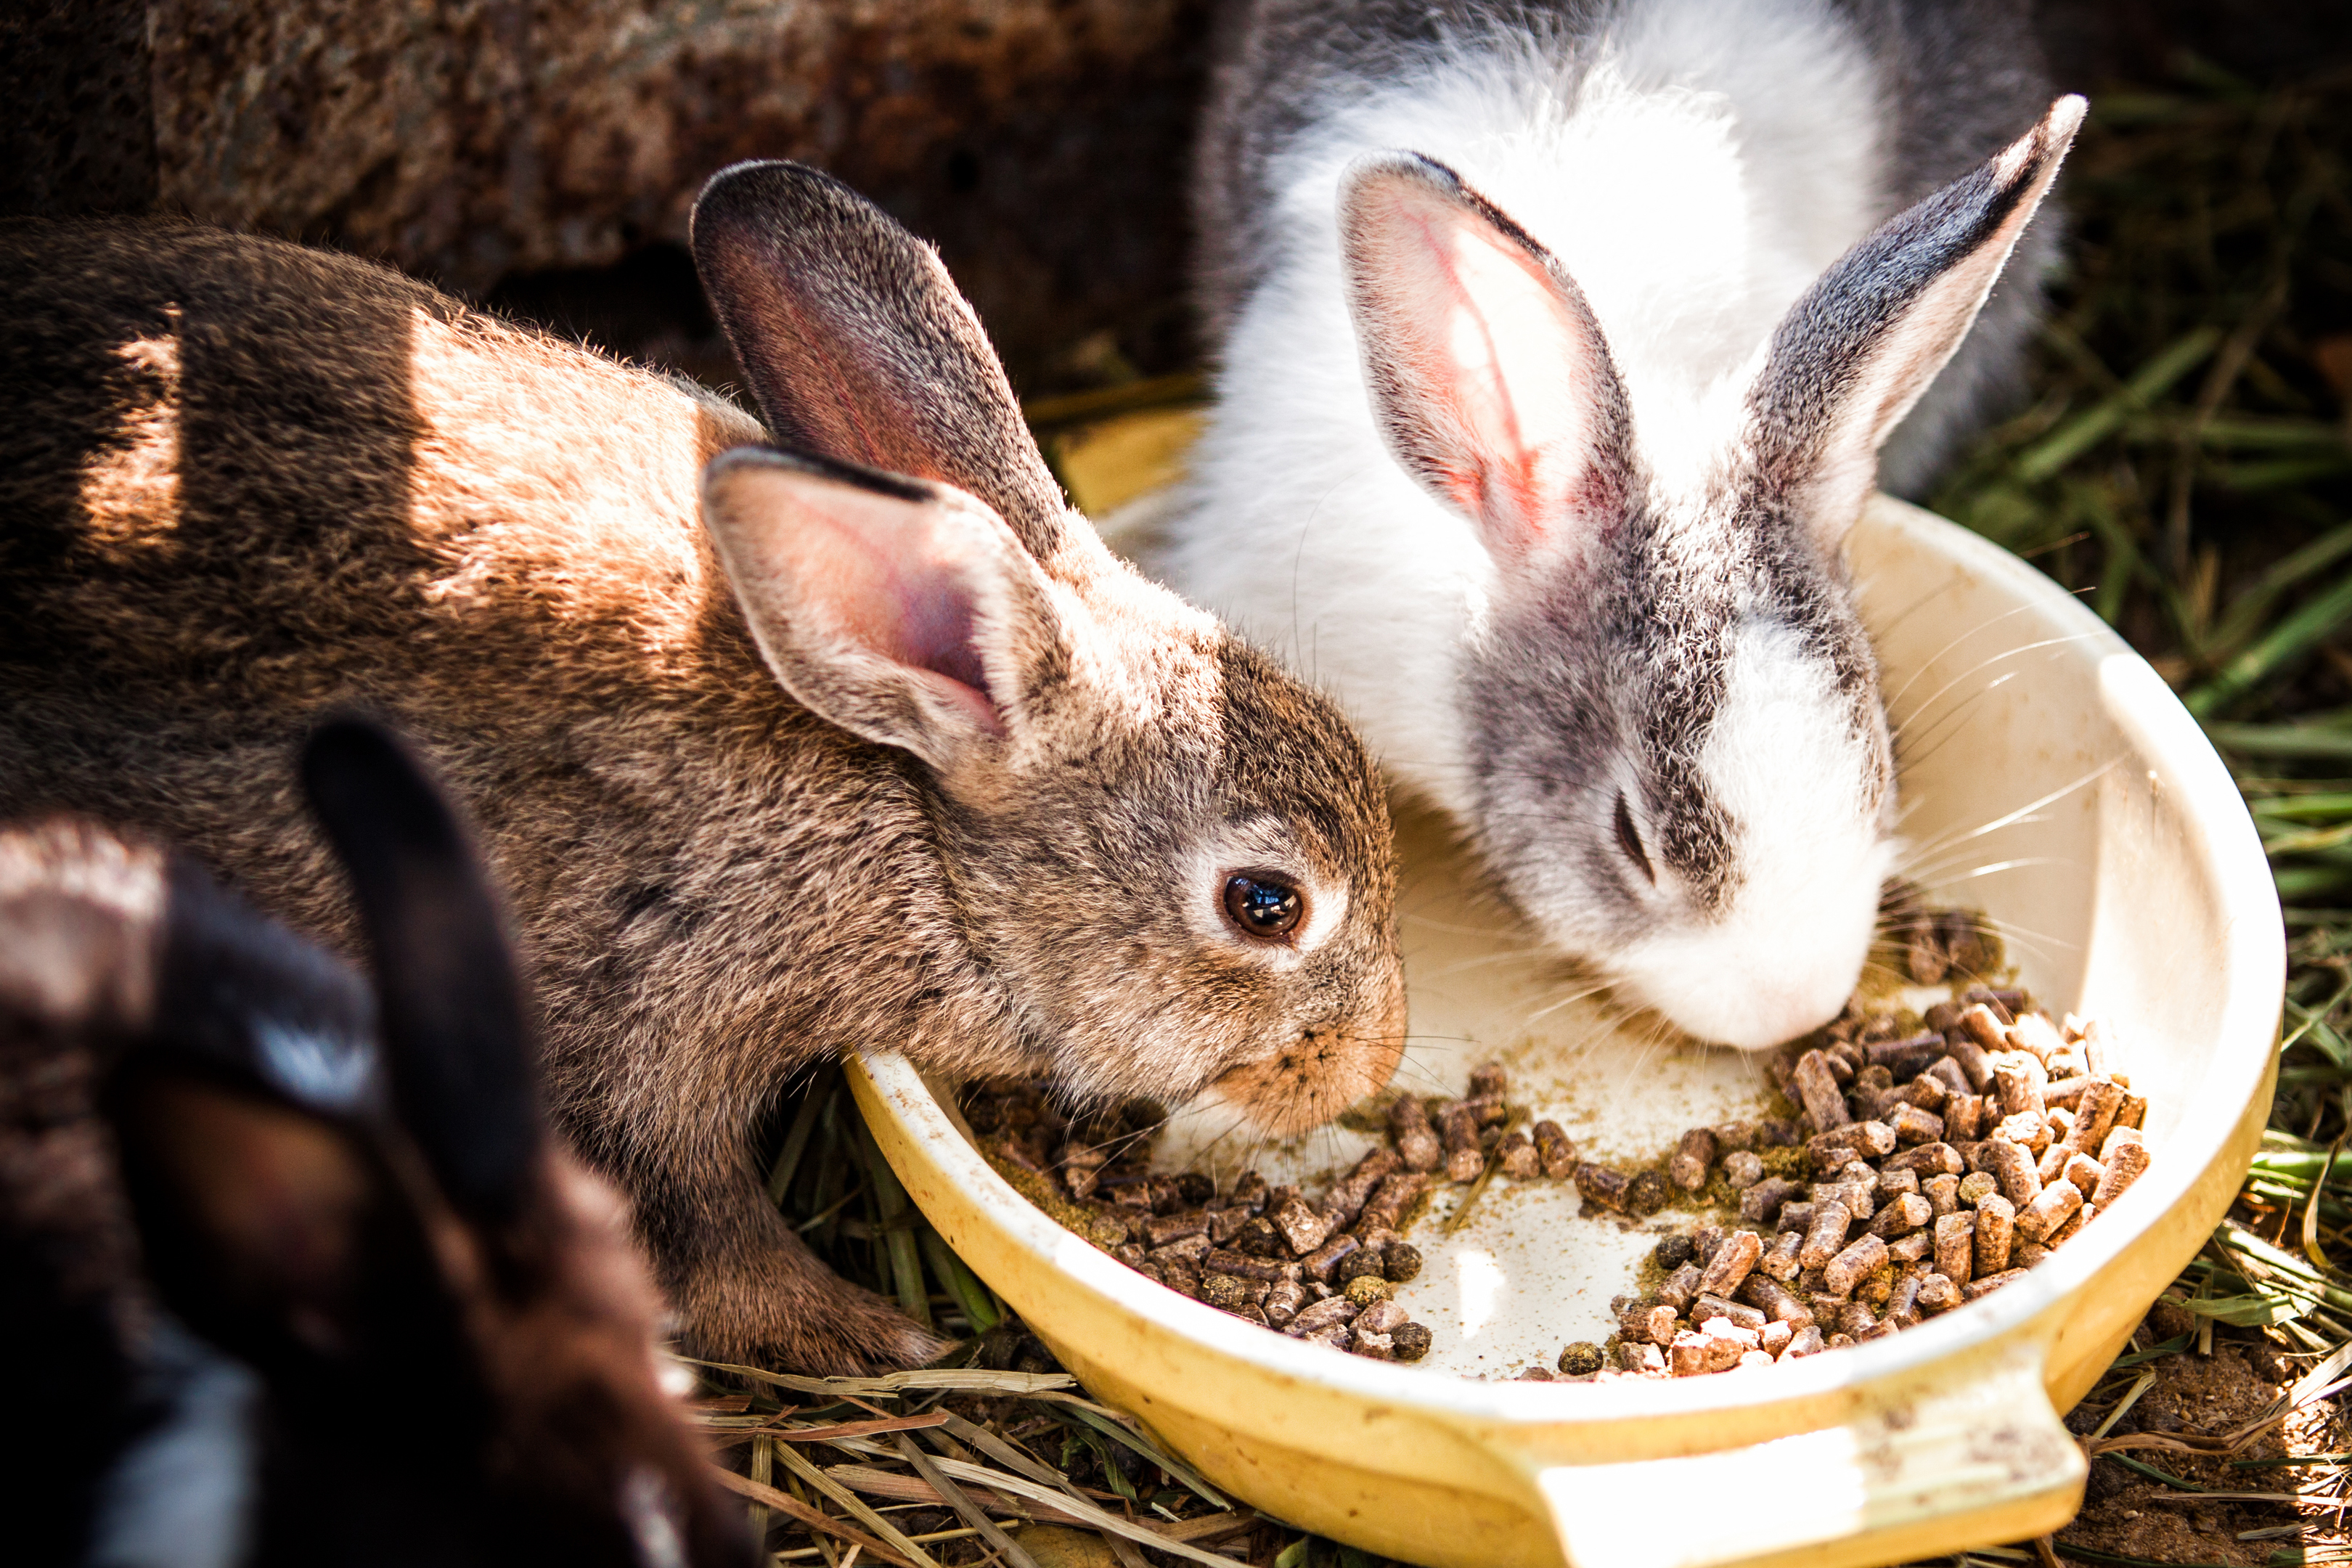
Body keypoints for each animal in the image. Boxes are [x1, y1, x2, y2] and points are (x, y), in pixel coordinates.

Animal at [0, 162, 1402, 1373]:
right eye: (1265, 904)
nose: (1375, 1061)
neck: (911, 812)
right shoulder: (631, 1039)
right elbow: (698, 1234)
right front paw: (860, 1331)